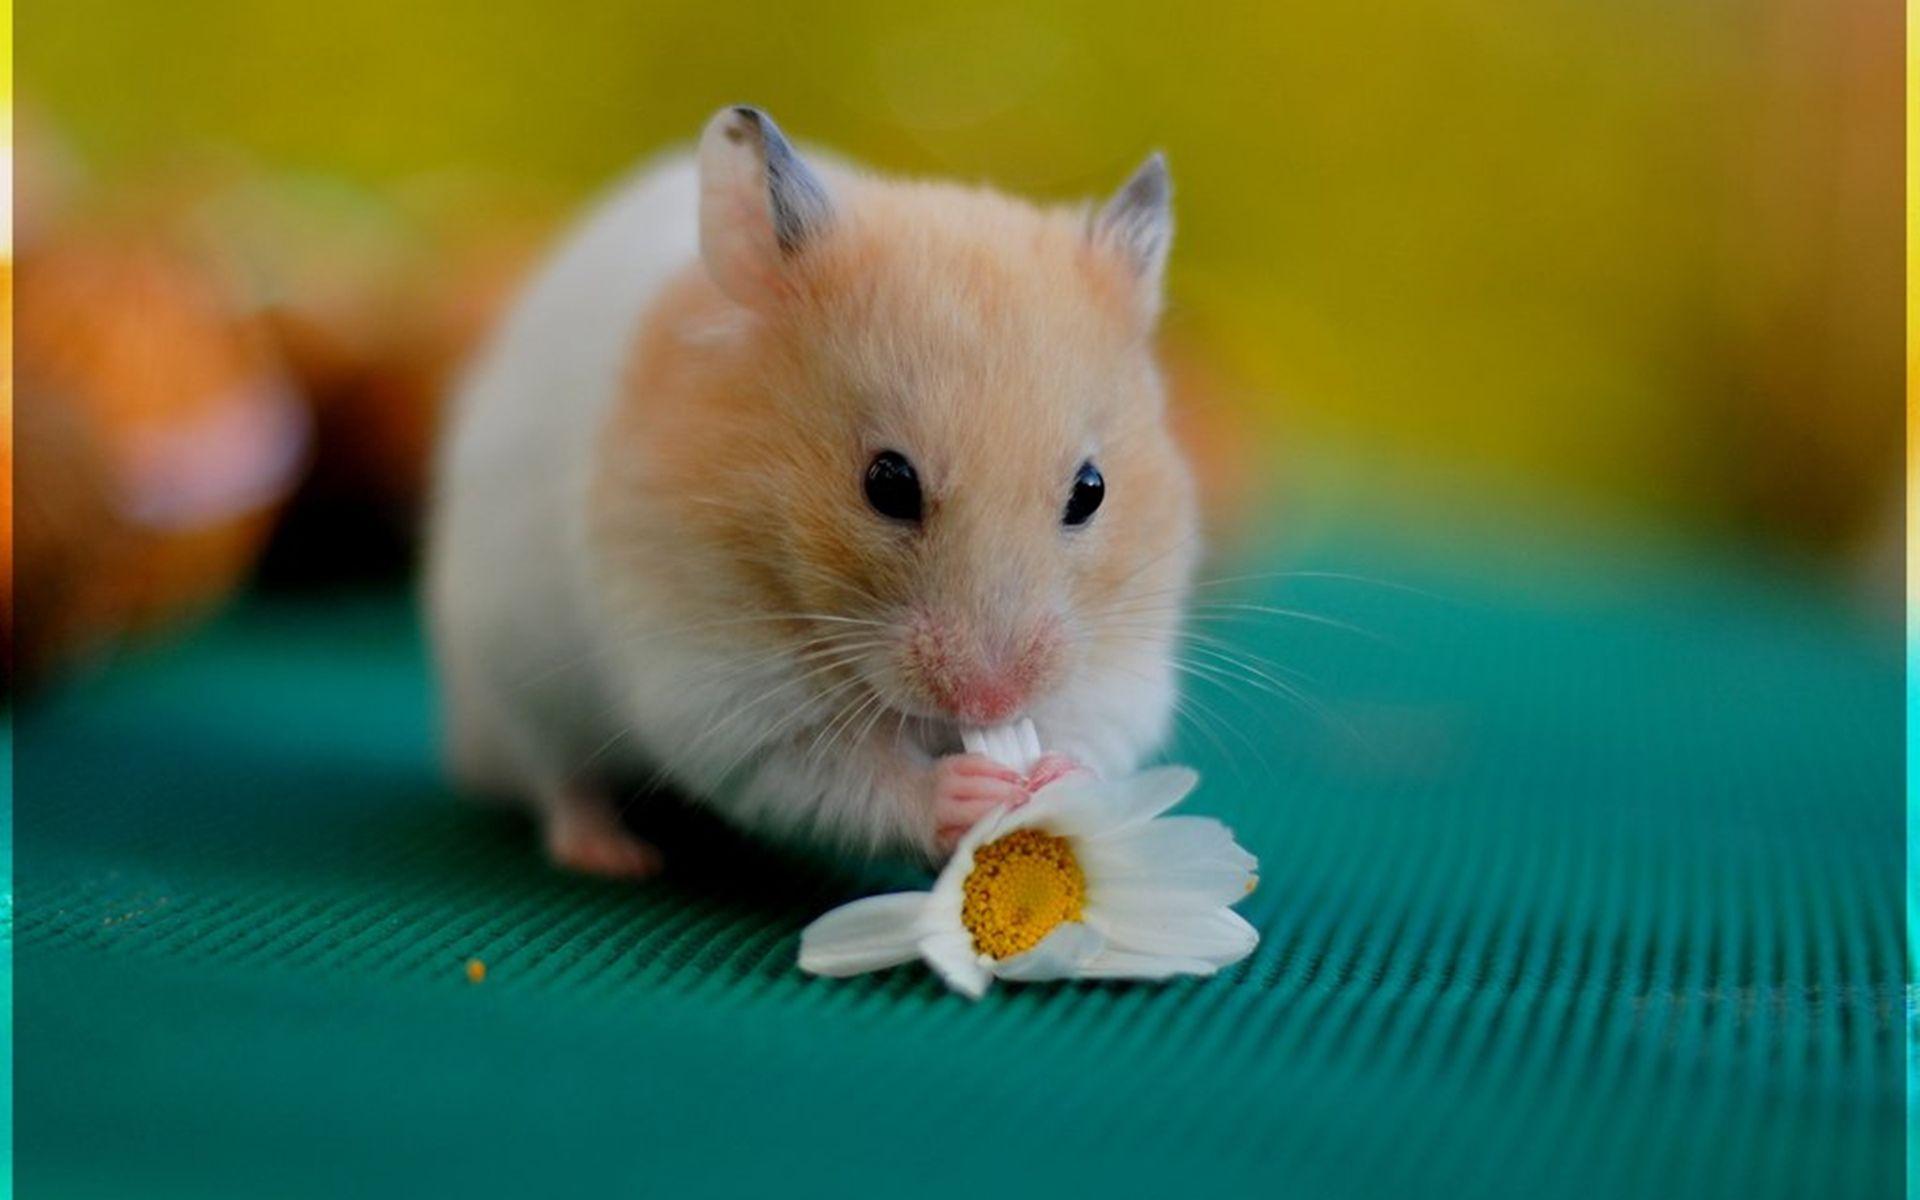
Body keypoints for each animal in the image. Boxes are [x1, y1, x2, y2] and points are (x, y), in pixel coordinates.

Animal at [425, 106, 1198, 876]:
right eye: (887, 484)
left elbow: (1092, 731)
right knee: (556, 779)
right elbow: (845, 778)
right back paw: (613, 855)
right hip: (513, 679)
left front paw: (1055, 778)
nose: (991, 702)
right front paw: (967, 793)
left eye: (1092, 491)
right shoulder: (724, 693)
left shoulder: (1120, 659)